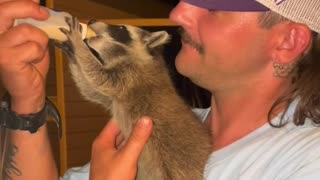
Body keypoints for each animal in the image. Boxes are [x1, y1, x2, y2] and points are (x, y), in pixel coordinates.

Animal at [57, 17, 212, 180]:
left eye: (121, 28)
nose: (91, 20)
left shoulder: (132, 77)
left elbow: (99, 76)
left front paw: (78, 44)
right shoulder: (114, 99)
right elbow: (91, 90)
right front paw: (73, 53)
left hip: (180, 167)